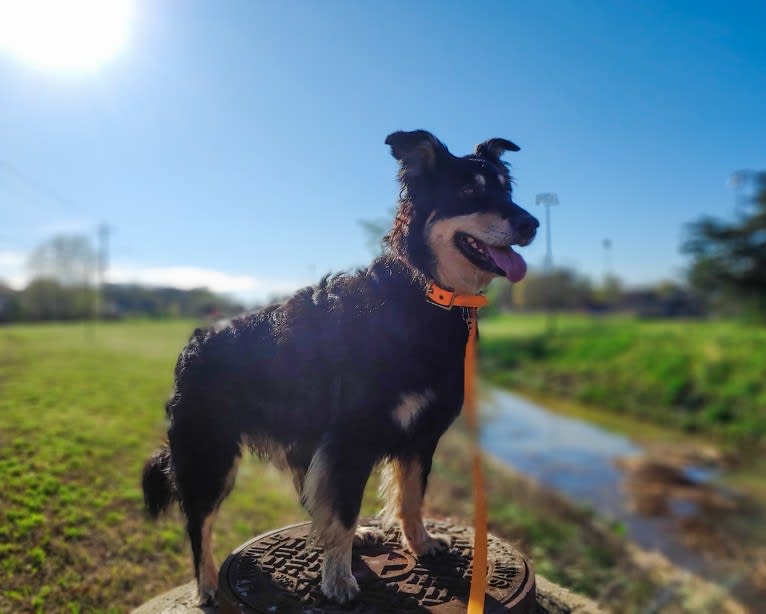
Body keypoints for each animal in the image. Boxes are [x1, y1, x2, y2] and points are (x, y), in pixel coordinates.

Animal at [142, 130, 540, 608]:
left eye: (506, 190)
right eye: (467, 191)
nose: (532, 224)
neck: (426, 292)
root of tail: (194, 342)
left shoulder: (420, 436)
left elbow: (410, 496)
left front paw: (420, 543)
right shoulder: (351, 438)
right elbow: (346, 507)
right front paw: (338, 580)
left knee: (309, 497)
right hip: (210, 456)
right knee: (198, 524)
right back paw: (206, 585)